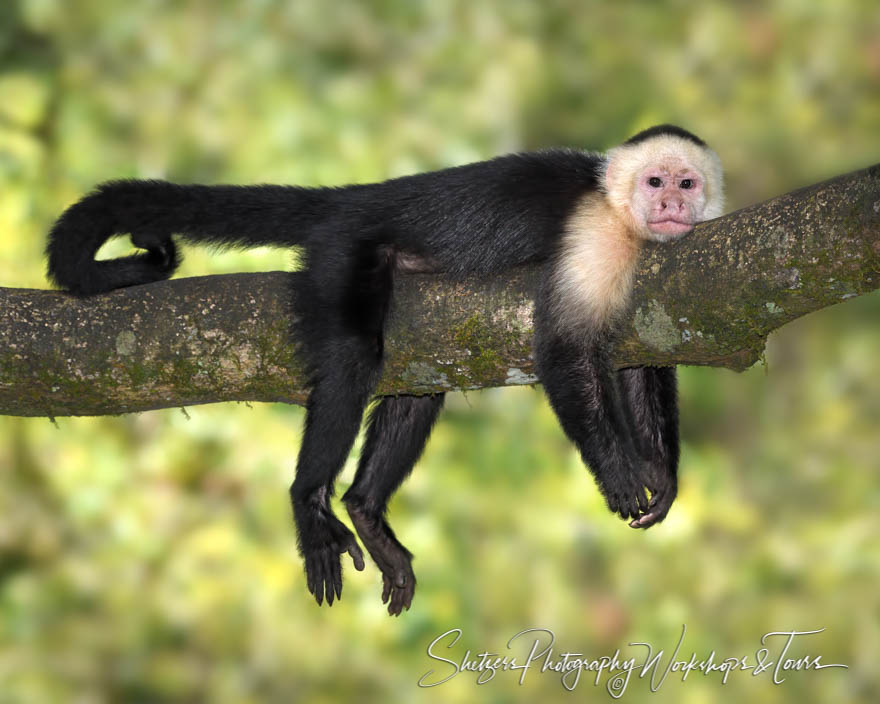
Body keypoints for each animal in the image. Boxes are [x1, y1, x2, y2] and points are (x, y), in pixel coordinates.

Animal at [44, 124, 724, 612]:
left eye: (687, 183)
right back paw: (310, 502)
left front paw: (660, 473)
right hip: (342, 252)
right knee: (352, 359)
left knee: (420, 386)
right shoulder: (594, 235)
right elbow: (562, 352)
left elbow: (639, 359)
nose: (670, 202)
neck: (622, 216)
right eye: (655, 180)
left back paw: (366, 509)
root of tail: (364, 197)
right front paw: (617, 472)